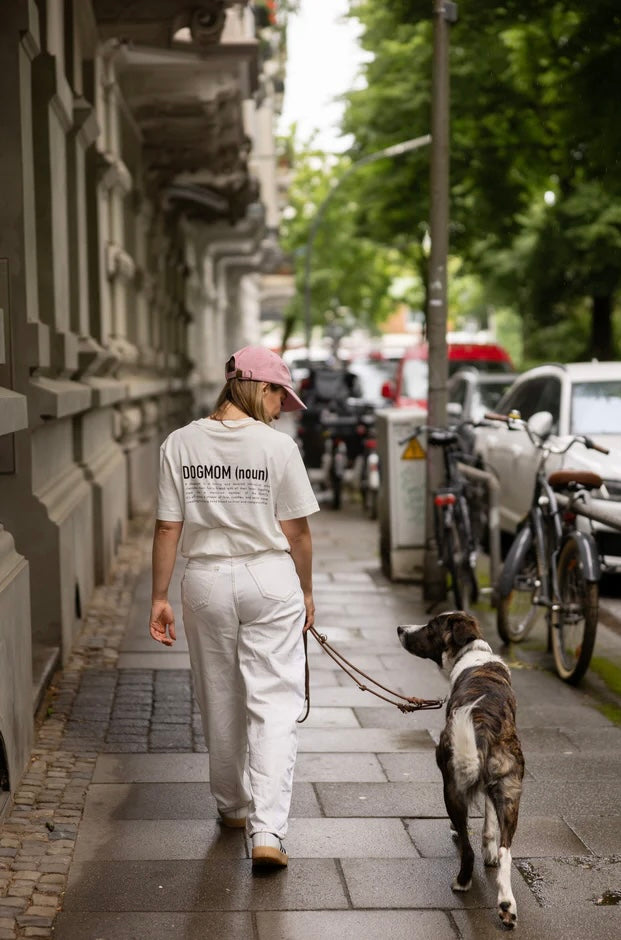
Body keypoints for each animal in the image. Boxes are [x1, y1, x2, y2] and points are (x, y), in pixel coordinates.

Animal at [398, 608, 524, 932]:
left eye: (431, 627)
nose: (400, 628)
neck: (473, 653)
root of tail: (484, 726)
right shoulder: (493, 788)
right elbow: (489, 824)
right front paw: (489, 850)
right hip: (510, 792)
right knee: (506, 851)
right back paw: (506, 905)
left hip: (450, 786)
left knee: (466, 848)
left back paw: (462, 882)